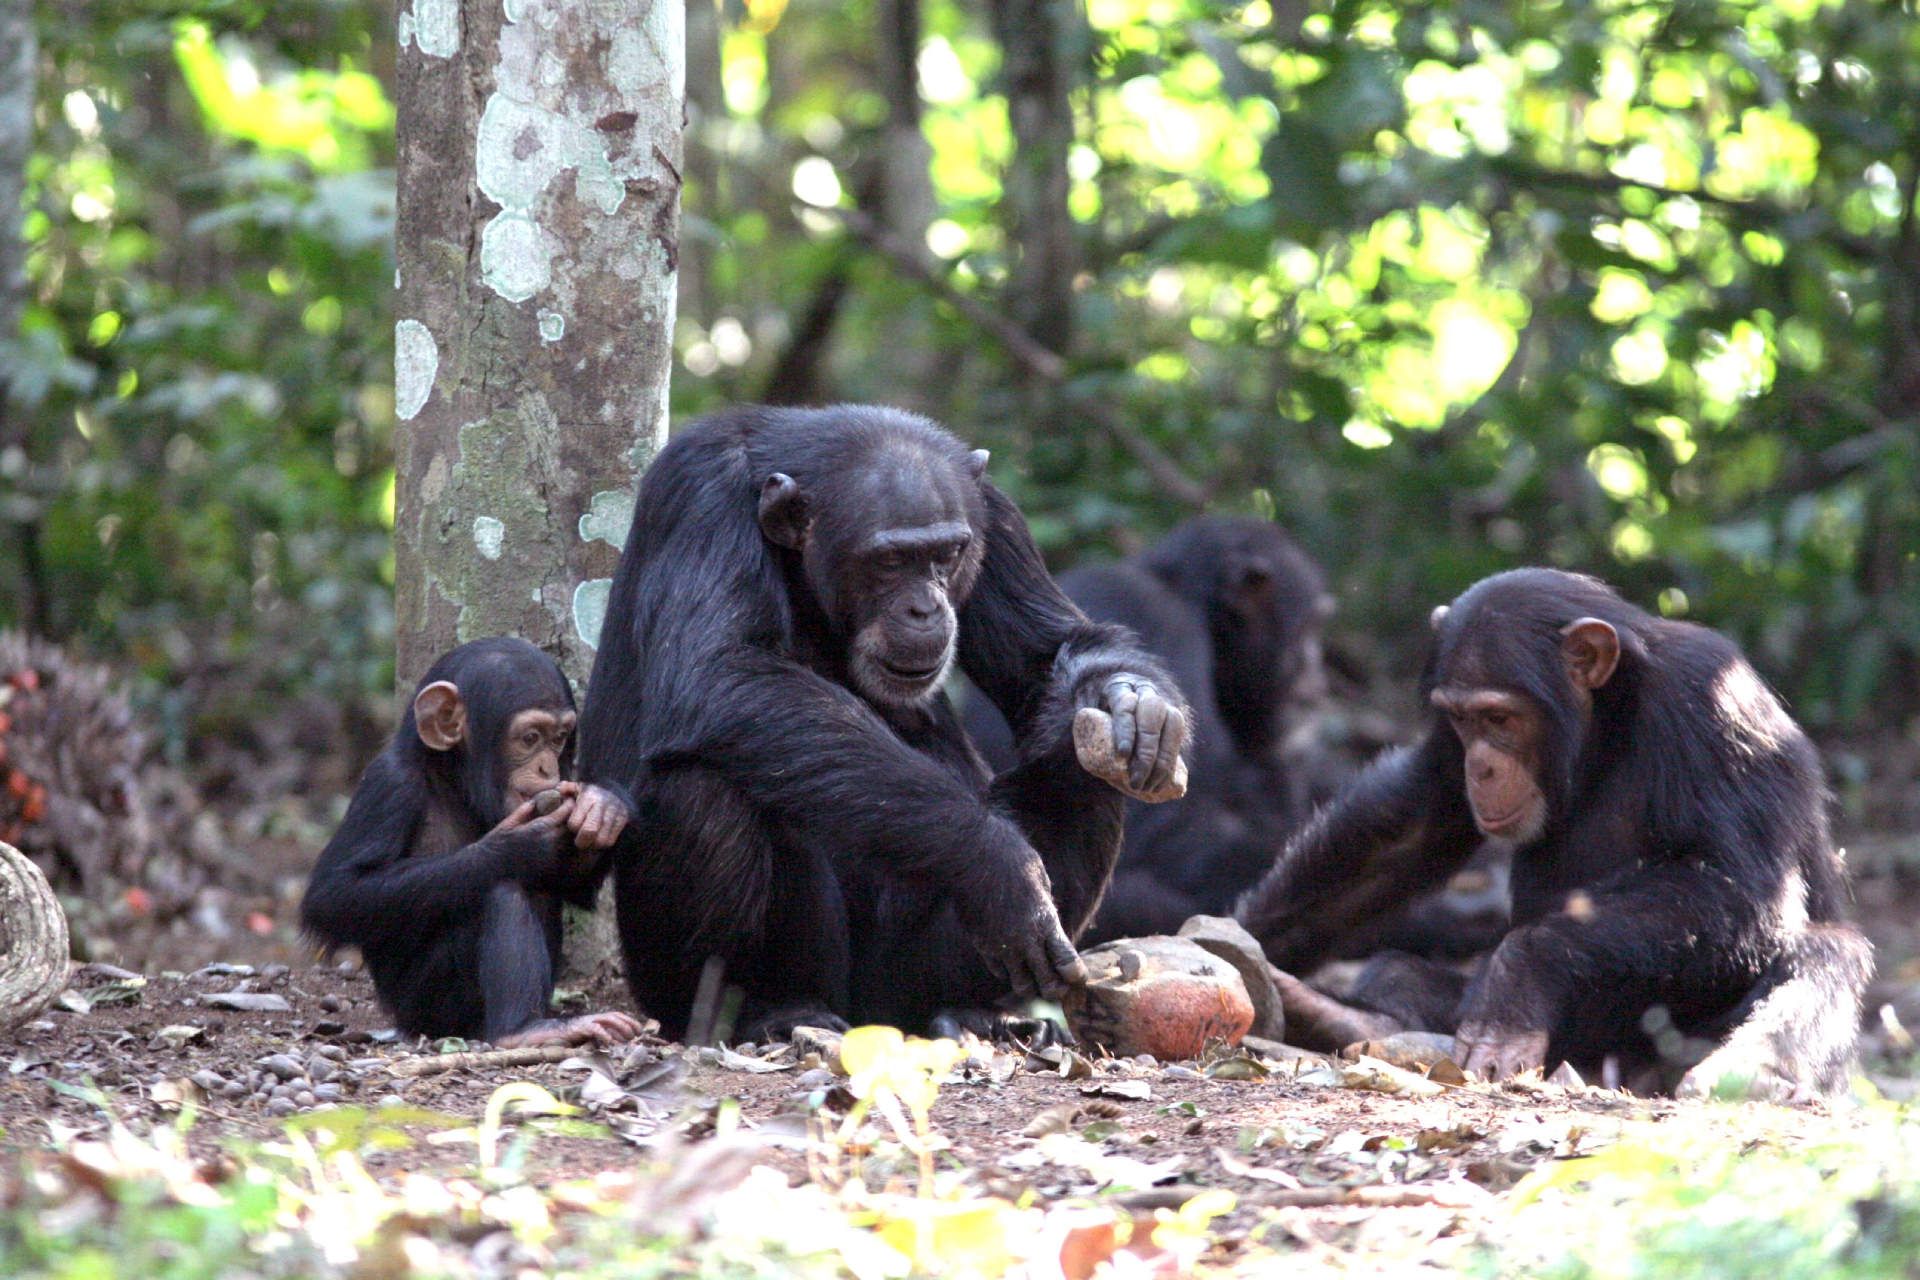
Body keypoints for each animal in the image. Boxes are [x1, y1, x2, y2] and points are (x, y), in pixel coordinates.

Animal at [301, 640, 645, 1051]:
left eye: (559, 738)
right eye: (530, 738)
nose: (548, 768)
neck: (453, 782)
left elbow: (571, 882)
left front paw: (603, 805)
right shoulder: (389, 786)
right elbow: (336, 893)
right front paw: (515, 846)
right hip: (428, 1003)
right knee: (503, 890)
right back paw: (524, 1029)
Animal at [576, 404, 1190, 1043]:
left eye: (946, 555)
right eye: (890, 561)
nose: (925, 607)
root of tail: (870, 1016)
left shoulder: (995, 517)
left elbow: (1049, 657)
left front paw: (1134, 703)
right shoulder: (700, 498)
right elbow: (719, 672)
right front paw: (1000, 864)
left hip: (911, 976)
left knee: (1082, 770)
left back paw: (974, 1010)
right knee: (703, 788)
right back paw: (766, 1010)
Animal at [1228, 571, 1873, 1105]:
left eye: (1500, 718)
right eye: (1462, 720)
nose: (1481, 767)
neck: (1605, 724)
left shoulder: (1714, 704)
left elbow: (1738, 885)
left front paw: (1517, 981)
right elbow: (1414, 827)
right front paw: (1239, 939)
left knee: (1825, 949)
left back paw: (1749, 1072)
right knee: (1394, 972)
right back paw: (1349, 1020)